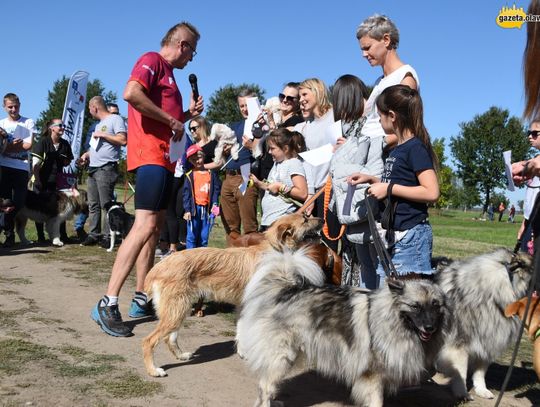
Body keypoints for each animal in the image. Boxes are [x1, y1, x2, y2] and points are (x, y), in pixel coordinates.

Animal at [141, 212, 336, 378]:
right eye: (305, 219)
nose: (323, 220)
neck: (277, 251)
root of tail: (158, 267)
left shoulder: (244, 306)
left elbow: (241, 331)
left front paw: (243, 353)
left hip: (178, 311)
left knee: (169, 338)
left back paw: (181, 356)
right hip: (176, 312)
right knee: (148, 341)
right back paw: (153, 370)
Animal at [236, 249, 448, 407]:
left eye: (436, 306)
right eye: (415, 306)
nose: (429, 327)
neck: (391, 318)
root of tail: (286, 290)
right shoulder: (372, 376)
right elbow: (376, 401)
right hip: (282, 357)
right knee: (265, 387)